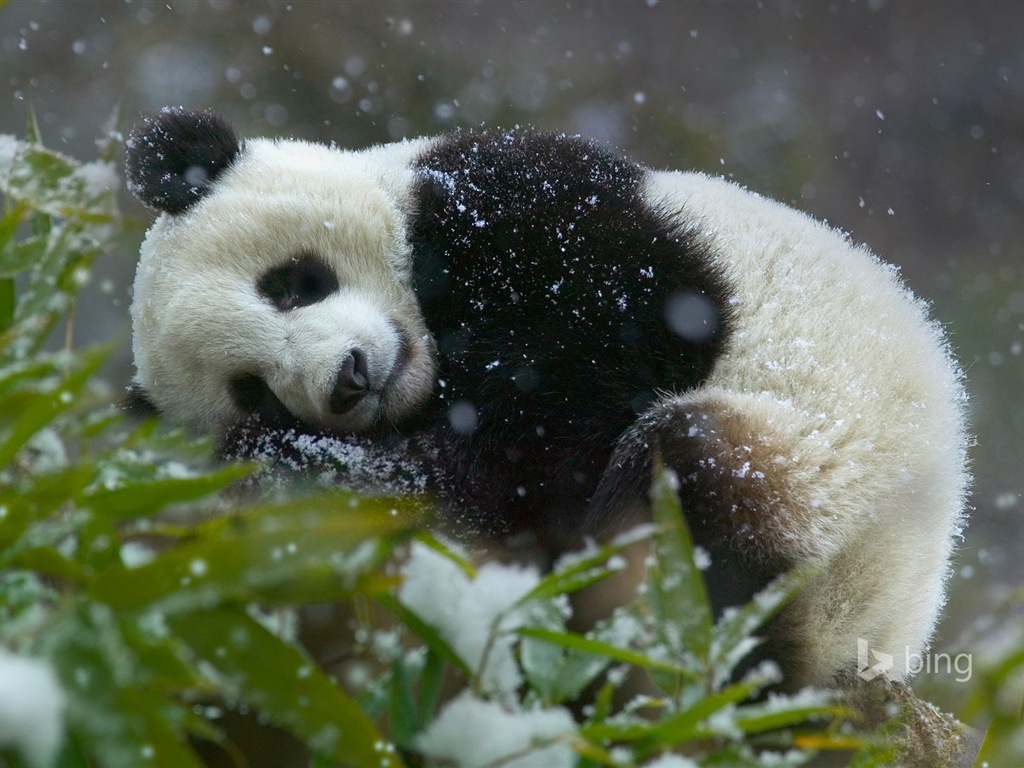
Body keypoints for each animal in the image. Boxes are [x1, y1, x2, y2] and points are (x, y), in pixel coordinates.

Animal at [121, 105, 966, 688]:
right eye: (254, 389)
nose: (349, 379)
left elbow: (600, 363)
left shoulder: (524, 208)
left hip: (826, 483)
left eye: (294, 283)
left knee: (691, 474)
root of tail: (880, 634)